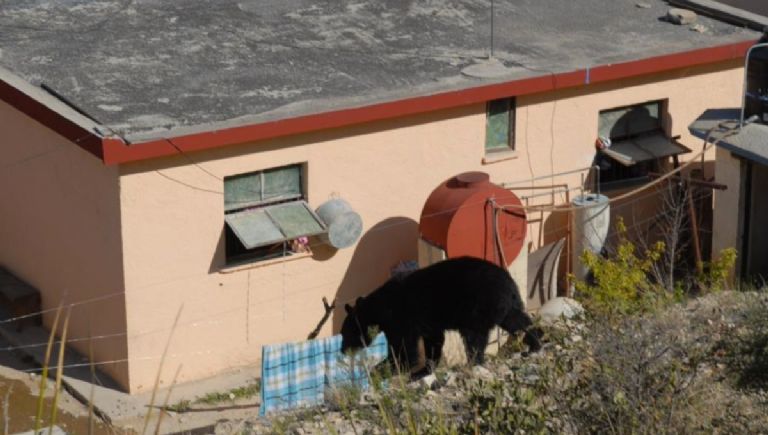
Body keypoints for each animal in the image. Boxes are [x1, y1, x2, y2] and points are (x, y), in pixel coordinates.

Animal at [342, 258, 540, 376]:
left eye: (345, 333)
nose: (343, 350)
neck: (379, 307)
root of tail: (509, 281)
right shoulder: (426, 324)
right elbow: (433, 341)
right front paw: (424, 369)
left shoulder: (400, 318)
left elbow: (405, 348)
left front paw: (386, 368)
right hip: (504, 306)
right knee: (516, 321)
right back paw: (535, 343)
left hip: (478, 306)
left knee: (474, 337)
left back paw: (472, 363)